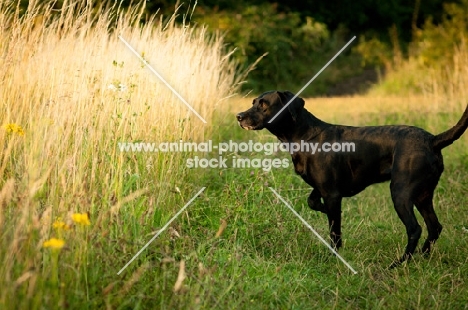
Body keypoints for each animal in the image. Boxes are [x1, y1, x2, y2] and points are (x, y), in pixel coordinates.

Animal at [238, 89, 468, 266]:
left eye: (264, 105)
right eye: (253, 102)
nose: (239, 116)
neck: (304, 136)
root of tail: (433, 140)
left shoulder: (331, 193)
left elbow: (334, 230)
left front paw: (334, 256)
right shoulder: (322, 189)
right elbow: (312, 202)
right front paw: (323, 210)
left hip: (401, 192)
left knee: (415, 229)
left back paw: (399, 264)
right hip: (423, 195)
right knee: (434, 227)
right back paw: (423, 257)